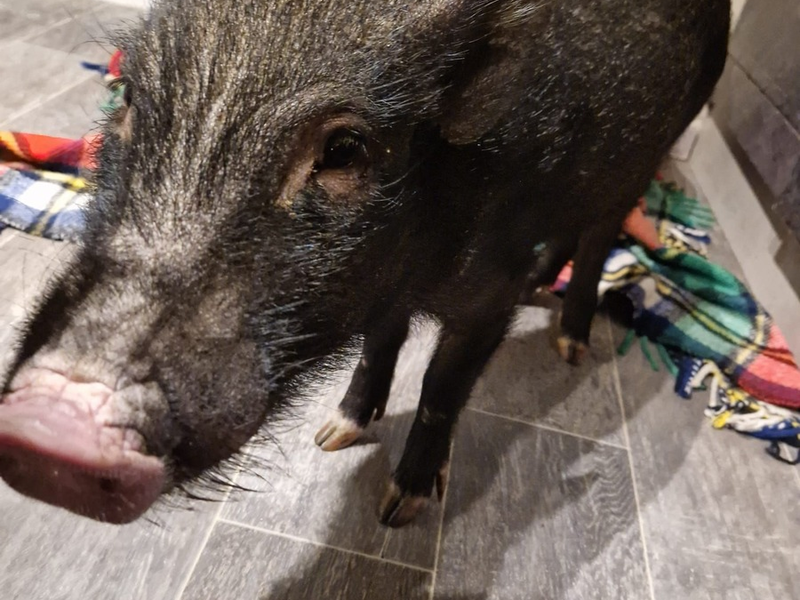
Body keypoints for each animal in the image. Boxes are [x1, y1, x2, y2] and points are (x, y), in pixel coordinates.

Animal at [0, 0, 730, 527]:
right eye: (125, 97)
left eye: (345, 149)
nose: (55, 417)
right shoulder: (388, 298)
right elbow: (381, 343)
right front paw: (335, 435)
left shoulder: (488, 297)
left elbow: (439, 389)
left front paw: (399, 511)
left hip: (652, 150)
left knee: (600, 234)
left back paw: (570, 345)